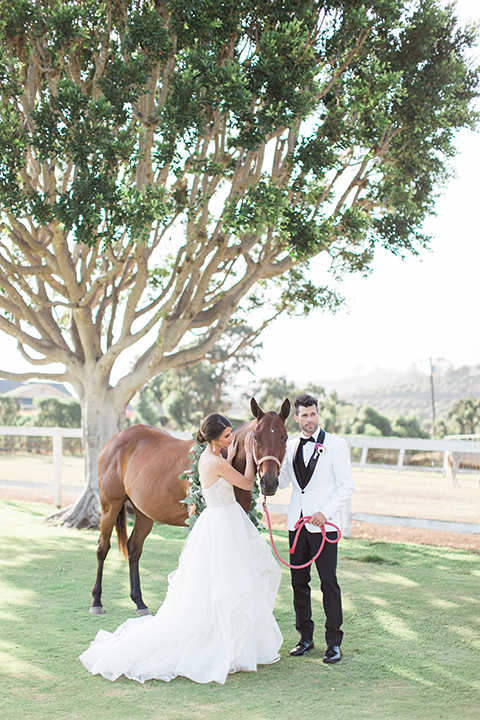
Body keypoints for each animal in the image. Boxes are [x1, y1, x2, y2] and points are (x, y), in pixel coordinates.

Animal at [92, 400, 290, 612]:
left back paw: (139, 602)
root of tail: (114, 439)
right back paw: (96, 600)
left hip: (144, 513)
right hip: (110, 506)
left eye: (285, 438)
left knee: (134, 548)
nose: (269, 483)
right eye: (257, 437)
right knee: (103, 548)